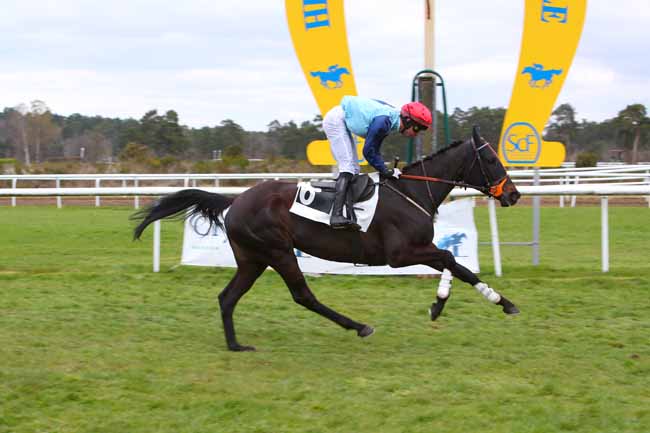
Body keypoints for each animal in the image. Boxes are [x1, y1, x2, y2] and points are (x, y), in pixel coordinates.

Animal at [133, 127, 521, 351]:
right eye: (491, 159)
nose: (514, 194)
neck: (412, 192)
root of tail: (236, 200)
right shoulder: (400, 253)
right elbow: (451, 260)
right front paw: (442, 304)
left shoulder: (416, 250)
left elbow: (456, 264)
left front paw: (500, 302)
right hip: (278, 250)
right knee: (303, 295)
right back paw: (359, 326)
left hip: (253, 259)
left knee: (227, 298)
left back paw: (235, 345)